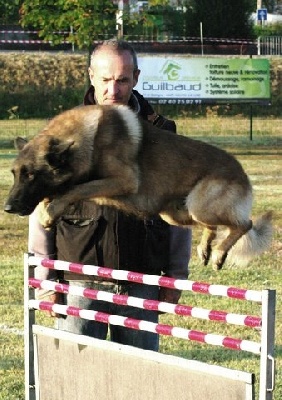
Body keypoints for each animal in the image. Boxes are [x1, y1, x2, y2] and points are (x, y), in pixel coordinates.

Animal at [3, 104, 274, 270]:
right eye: (15, 174)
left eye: (31, 175)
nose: (8, 208)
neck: (88, 139)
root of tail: (241, 172)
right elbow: (66, 192)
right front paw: (49, 210)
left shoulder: (122, 181)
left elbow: (76, 189)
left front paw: (51, 211)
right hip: (176, 214)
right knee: (214, 226)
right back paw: (205, 249)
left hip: (199, 206)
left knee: (244, 224)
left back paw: (218, 253)